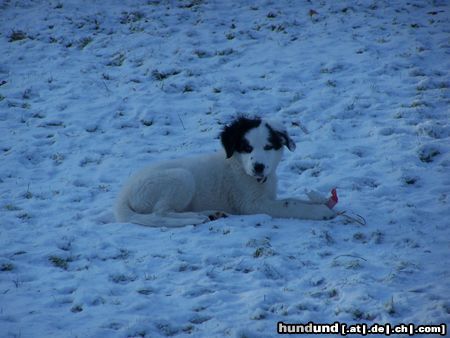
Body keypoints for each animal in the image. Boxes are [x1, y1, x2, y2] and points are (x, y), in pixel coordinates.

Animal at [114, 117, 336, 227]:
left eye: (268, 147)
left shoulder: (268, 196)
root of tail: (122, 197)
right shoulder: (252, 205)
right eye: (246, 148)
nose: (258, 167)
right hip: (181, 178)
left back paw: (211, 214)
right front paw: (321, 212)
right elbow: (290, 205)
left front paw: (321, 201)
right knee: (159, 214)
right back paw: (195, 219)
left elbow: (293, 199)